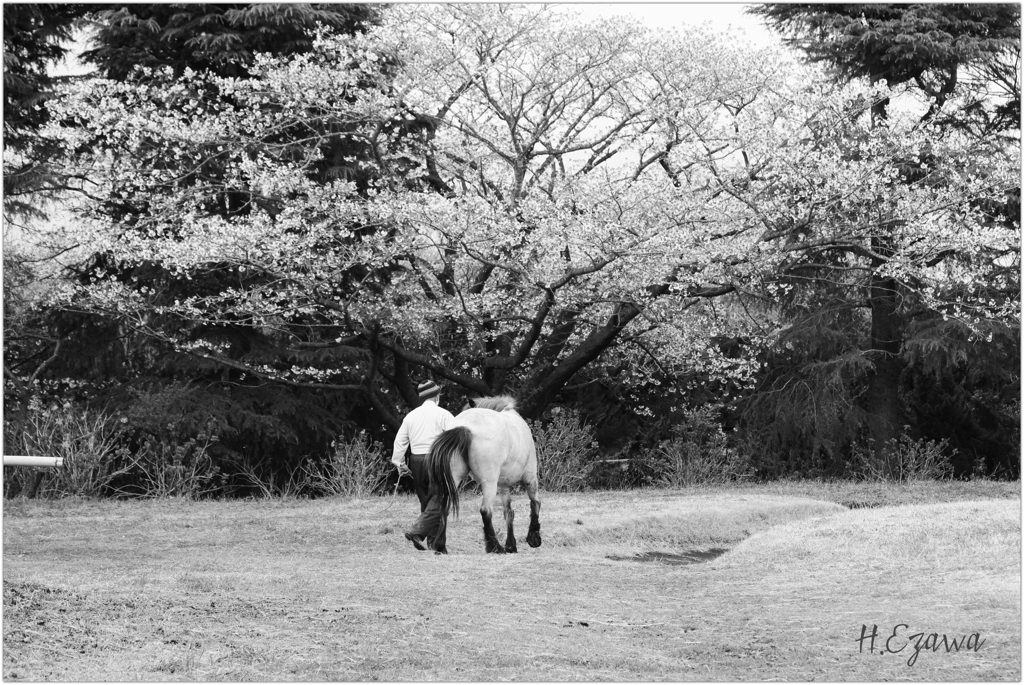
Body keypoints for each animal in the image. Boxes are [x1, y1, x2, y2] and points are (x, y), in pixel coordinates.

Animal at [423, 395, 540, 548]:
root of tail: (466, 427)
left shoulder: (503, 485)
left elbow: (508, 512)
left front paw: (511, 545)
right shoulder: (530, 477)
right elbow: (535, 502)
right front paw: (534, 536)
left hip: (455, 478)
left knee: (445, 507)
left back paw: (441, 546)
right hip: (489, 483)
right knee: (486, 510)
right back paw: (495, 547)